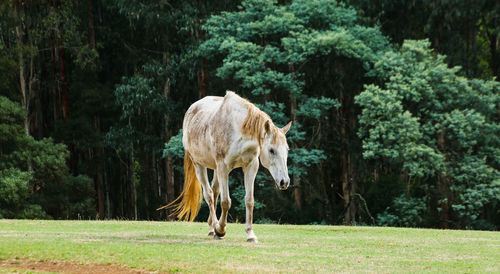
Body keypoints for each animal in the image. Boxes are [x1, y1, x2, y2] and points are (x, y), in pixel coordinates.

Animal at [162, 90, 292, 242]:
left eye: (287, 150)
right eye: (272, 150)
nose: (284, 182)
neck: (238, 130)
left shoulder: (251, 166)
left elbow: (249, 200)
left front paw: (250, 234)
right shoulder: (223, 167)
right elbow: (225, 202)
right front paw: (221, 230)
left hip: (216, 169)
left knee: (215, 191)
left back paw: (212, 228)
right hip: (199, 165)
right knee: (209, 195)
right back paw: (215, 228)